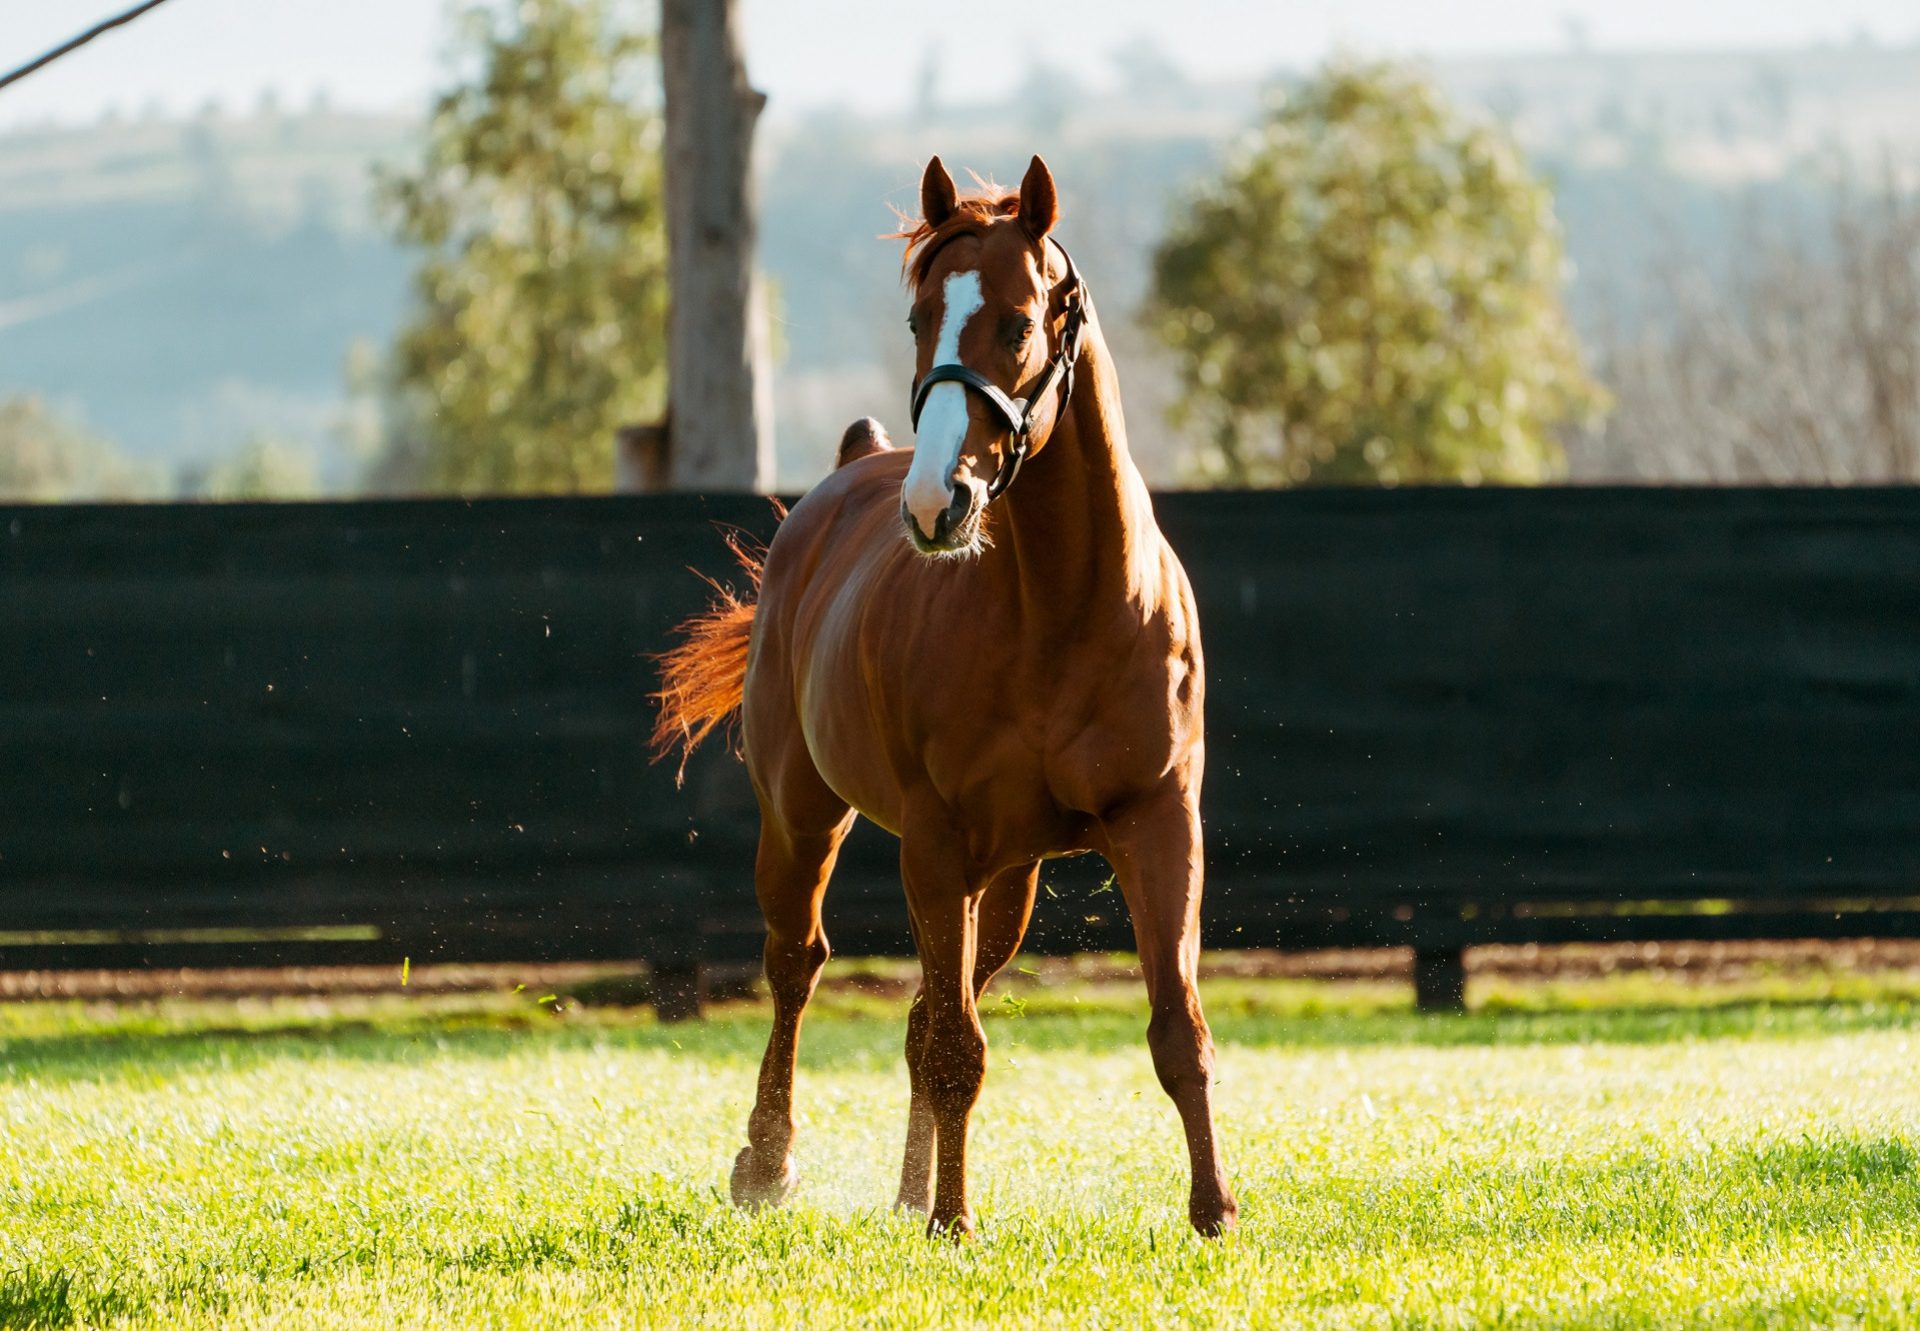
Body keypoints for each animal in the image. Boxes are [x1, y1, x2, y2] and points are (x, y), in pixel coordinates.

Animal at [652, 155, 1236, 1236]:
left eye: (1018, 321)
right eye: (921, 317)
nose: (936, 504)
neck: (1063, 608)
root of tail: (850, 471)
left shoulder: (1160, 822)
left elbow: (1176, 1024)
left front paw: (1214, 1211)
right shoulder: (931, 842)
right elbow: (957, 1046)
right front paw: (954, 1221)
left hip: (1003, 882)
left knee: (931, 1003)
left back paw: (908, 1184)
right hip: (806, 820)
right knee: (799, 964)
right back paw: (771, 1162)